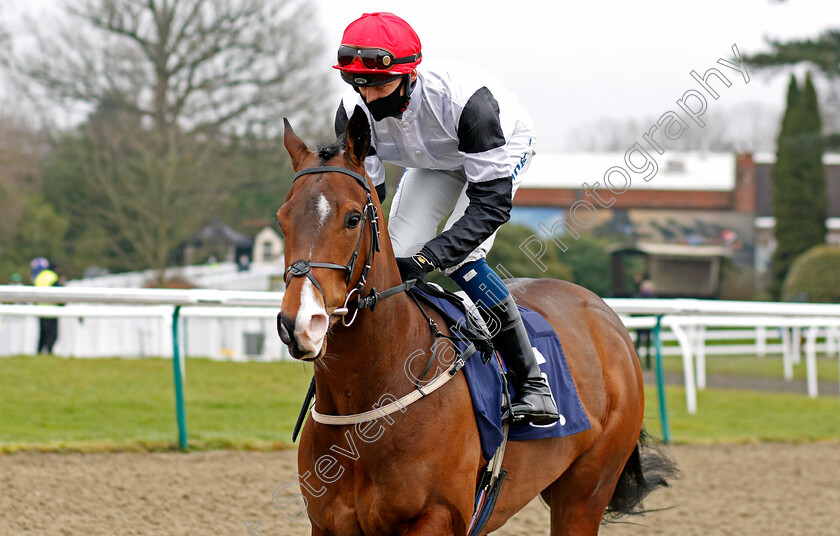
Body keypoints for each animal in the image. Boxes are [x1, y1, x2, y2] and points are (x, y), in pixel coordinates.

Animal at [278, 107, 676, 532]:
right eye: (283, 218)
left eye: (353, 218)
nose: (299, 322)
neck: (368, 400)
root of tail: (606, 316)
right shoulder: (327, 524)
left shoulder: (438, 516)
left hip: (586, 491)